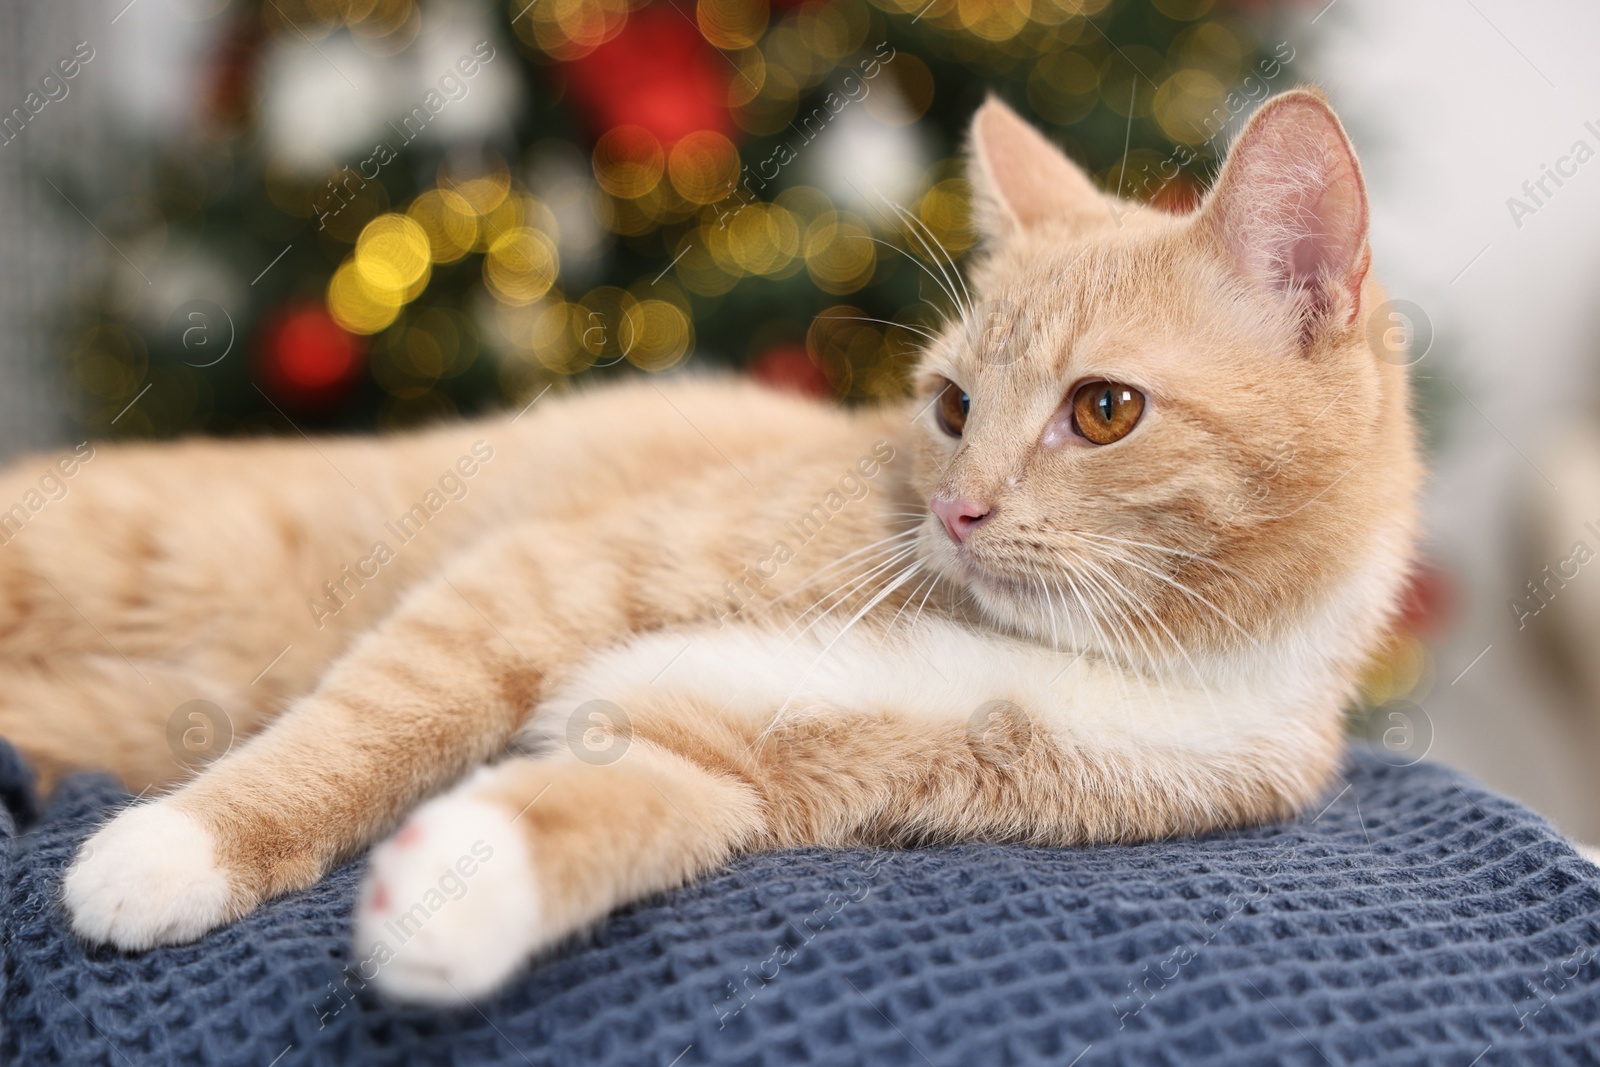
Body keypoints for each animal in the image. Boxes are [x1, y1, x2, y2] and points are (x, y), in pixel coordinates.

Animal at [0, 89, 1420, 1004]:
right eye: (952, 408)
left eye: (1105, 409)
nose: (956, 511)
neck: (1112, 662)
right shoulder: (538, 580)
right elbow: (370, 725)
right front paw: (178, 848)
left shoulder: (726, 745)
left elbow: (616, 810)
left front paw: (451, 898)